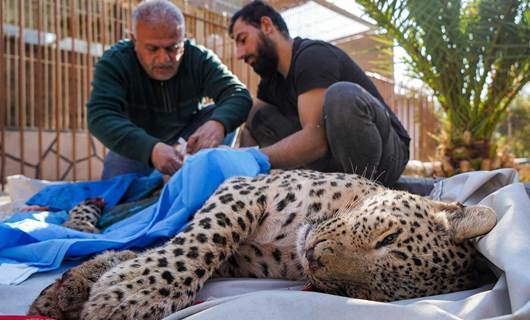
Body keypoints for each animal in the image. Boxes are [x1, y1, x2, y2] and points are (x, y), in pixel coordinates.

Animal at [25, 169, 496, 318]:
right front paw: (133, 293)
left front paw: (91, 285)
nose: (315, 256)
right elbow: (201, 241)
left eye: (358, 292)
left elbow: (182, 251)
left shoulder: (238, 263)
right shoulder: (244, 189)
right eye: (387, 238)